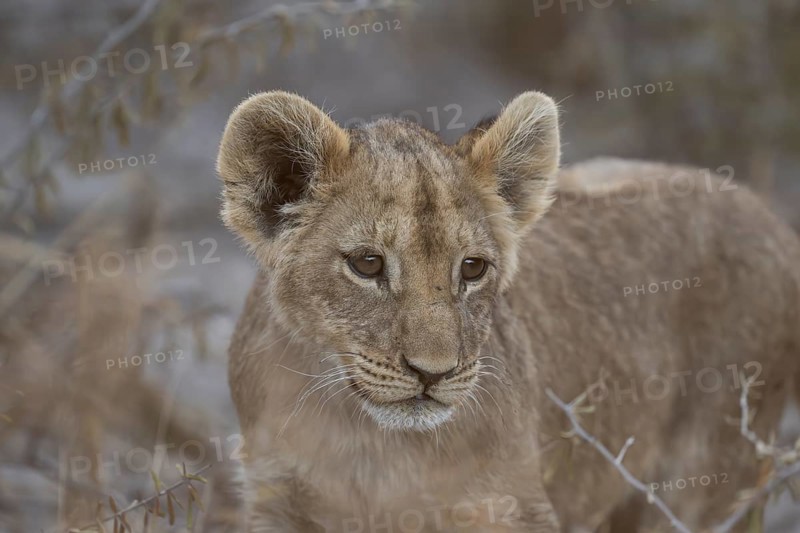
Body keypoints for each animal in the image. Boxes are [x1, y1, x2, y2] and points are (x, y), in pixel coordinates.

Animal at [216, 90, 800, 532]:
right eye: (367, 263)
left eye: (472, 268)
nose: (434, 373)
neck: (369, 445)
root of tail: (764, 213)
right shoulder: (277, 499)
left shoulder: (511, 508)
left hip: (705, 479)